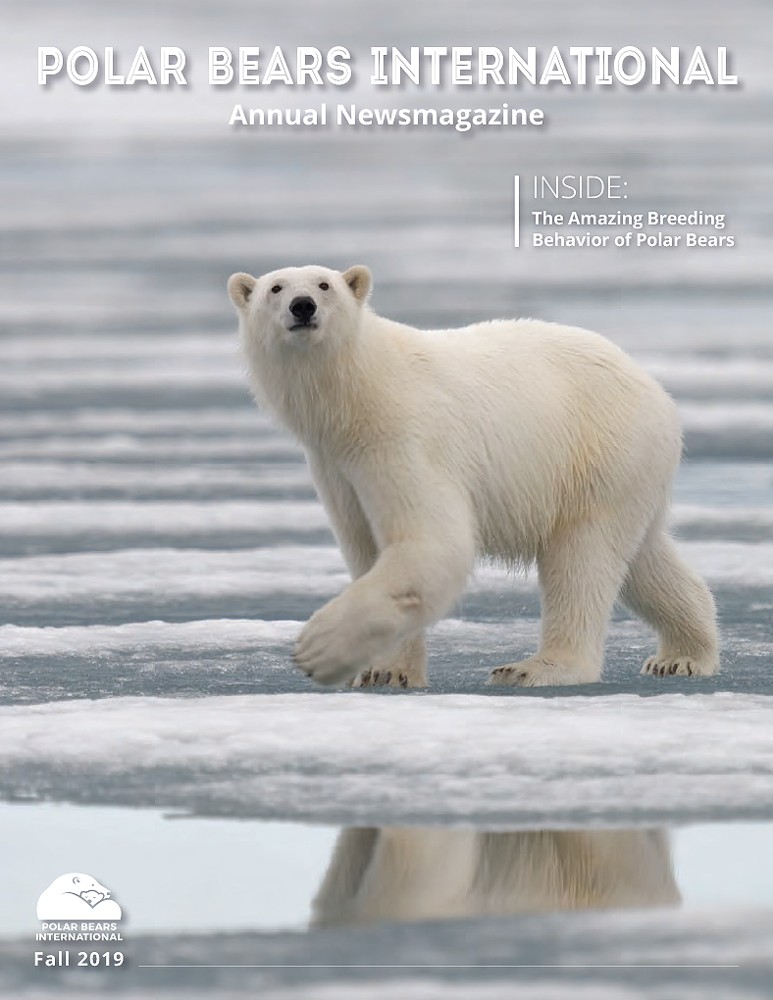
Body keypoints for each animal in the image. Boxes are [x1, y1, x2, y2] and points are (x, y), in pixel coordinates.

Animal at [227, 264, 718, 689]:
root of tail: (657, 393)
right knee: (642, 560)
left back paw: (534, 667)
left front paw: (321, 649)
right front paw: (386, 671)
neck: (359, 391)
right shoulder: (335, 467)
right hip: (628, 471)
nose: (303, 306)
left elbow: (432, 544)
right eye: (275, 288)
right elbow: (369, 550)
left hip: (598, 451)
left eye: (324, 284)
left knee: (582, 559)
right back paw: (682, 654)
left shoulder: (404, 439)